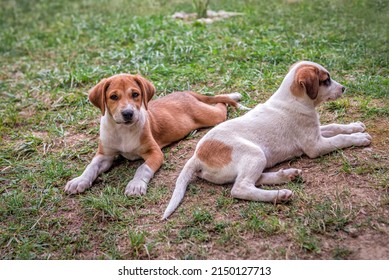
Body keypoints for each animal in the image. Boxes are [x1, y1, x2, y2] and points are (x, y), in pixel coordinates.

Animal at [65, 74, 242, 197]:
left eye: (135, 94)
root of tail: (186, 93)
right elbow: (91, 167)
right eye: (113, 97)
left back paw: (232, 96)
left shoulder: (155, 152)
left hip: (210, 116)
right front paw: (79, 180)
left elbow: (143, 168)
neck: (123, 131)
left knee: (221, 104)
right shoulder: (104, 155)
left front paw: (136, 185)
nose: (128, 113)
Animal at [162, 60, 372, 219]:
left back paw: (287, 176)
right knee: (240, 188)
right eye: (326, 80)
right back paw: (280, 195)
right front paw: (359, 138)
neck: (293, 100)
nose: (344, 88)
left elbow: (335, 127)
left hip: (258, 158)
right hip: (254, 153)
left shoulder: (316, 132)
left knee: (253, 179)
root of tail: (197, 155)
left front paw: (356, 126)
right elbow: (340, 139)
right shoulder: (315, 146)